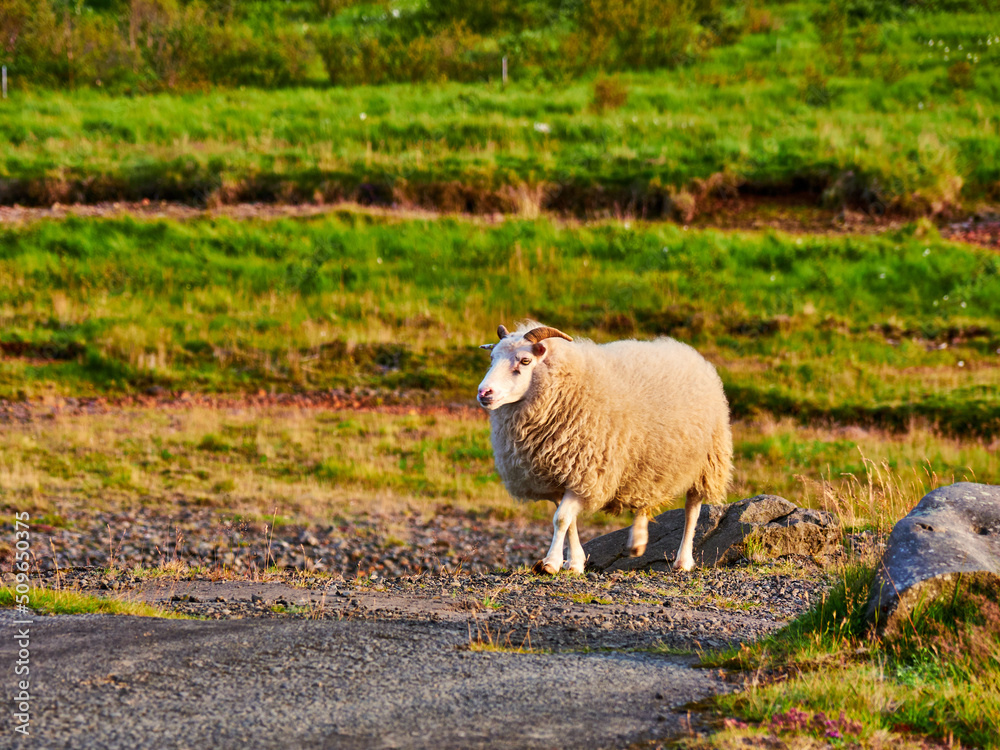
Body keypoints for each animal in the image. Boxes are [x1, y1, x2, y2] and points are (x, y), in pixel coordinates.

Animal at [476, 321, 732, 574]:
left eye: (525, 361)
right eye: (492, 358)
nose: (483, 392)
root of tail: (688, 352)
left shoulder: (588, 471)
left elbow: (561, 519)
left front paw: (550, 563)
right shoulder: (560, 478)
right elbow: (569, 521)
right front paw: (574, 562)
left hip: (708, 459)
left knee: (692, 508)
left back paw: (683, 560)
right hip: (647, 462)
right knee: (645, 498)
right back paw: (637, 542)